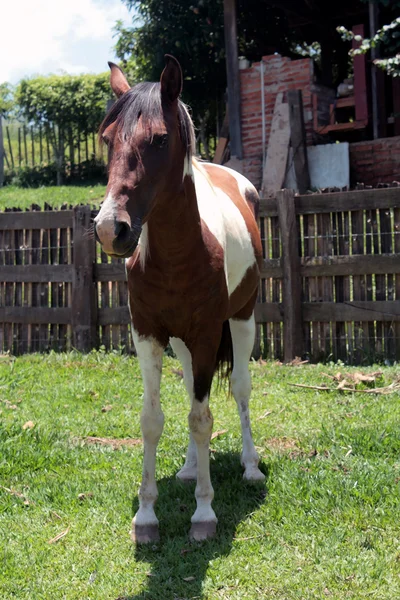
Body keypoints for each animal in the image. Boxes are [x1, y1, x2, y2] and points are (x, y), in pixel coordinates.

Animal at [94, 55, 266, 544]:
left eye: (160, 138)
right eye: (108, 138)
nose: (110, 228)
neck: (177, 253)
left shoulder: (208, 334)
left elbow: (202, 418)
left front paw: (204, 513)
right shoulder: (148, 335)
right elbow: (155, 419)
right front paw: (146, 516)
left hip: (241, 320)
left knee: (240, 389)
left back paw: (250, 467)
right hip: (183, 343)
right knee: (193, 390)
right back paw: (191, 468)